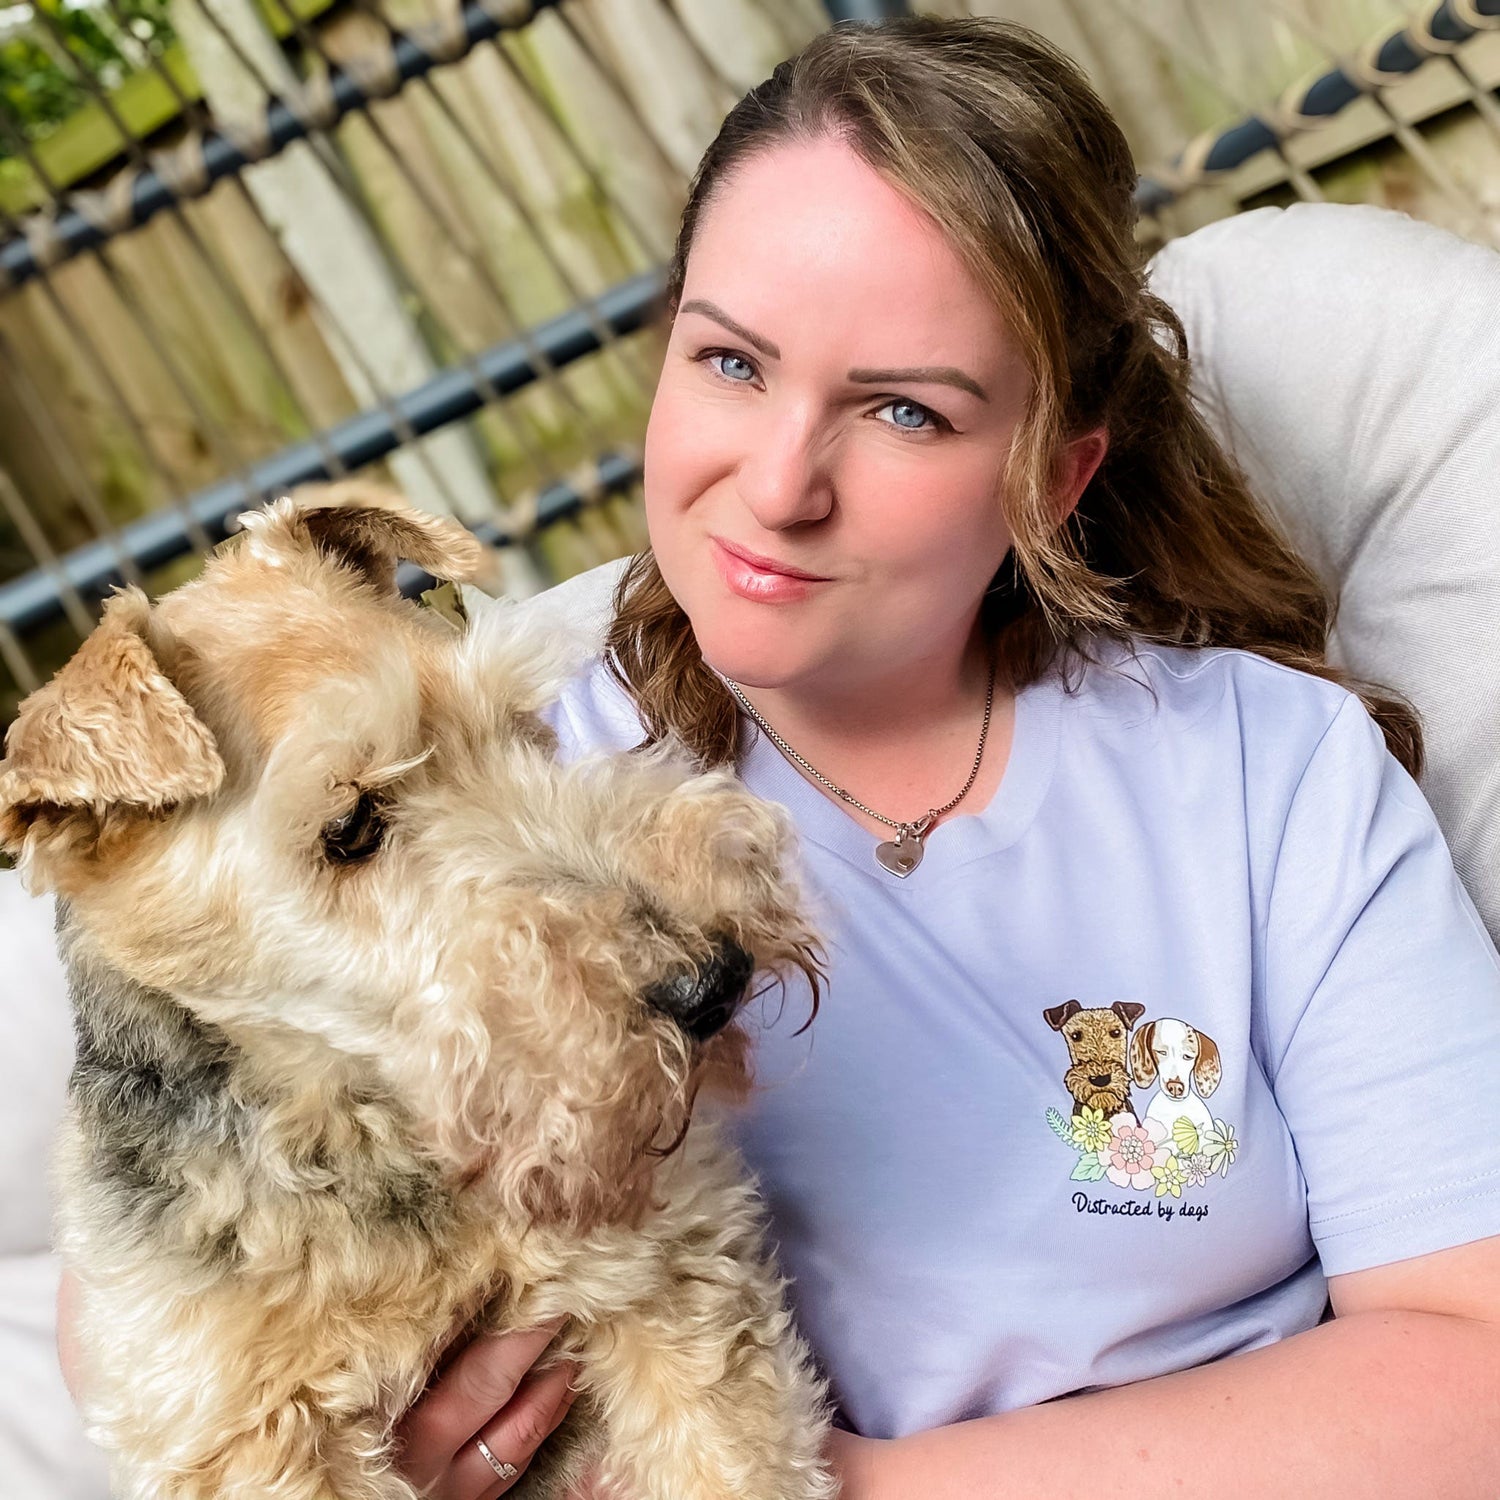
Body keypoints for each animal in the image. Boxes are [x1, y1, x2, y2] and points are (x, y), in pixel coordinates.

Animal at [0, 483, 840, 1500]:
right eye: (351, 826)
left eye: (520, 724)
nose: (714, 978)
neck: (363, 1136)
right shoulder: (245, 1435)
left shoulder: (664, 1274)